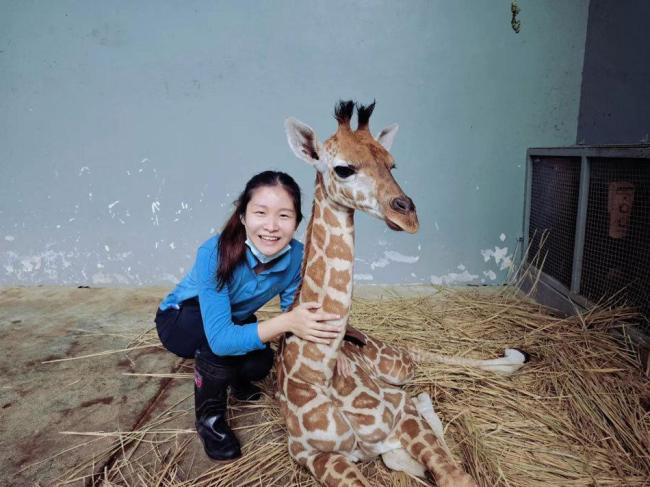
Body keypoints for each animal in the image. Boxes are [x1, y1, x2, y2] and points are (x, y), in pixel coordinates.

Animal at [276, 101, 524, 486]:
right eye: (343, 168)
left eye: (392, 164)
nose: (408, 215)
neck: (319, 372)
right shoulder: (314, 456)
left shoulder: (397, 413)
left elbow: (456, 477)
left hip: (394, 365)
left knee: (417, 356)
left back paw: (512, 358)